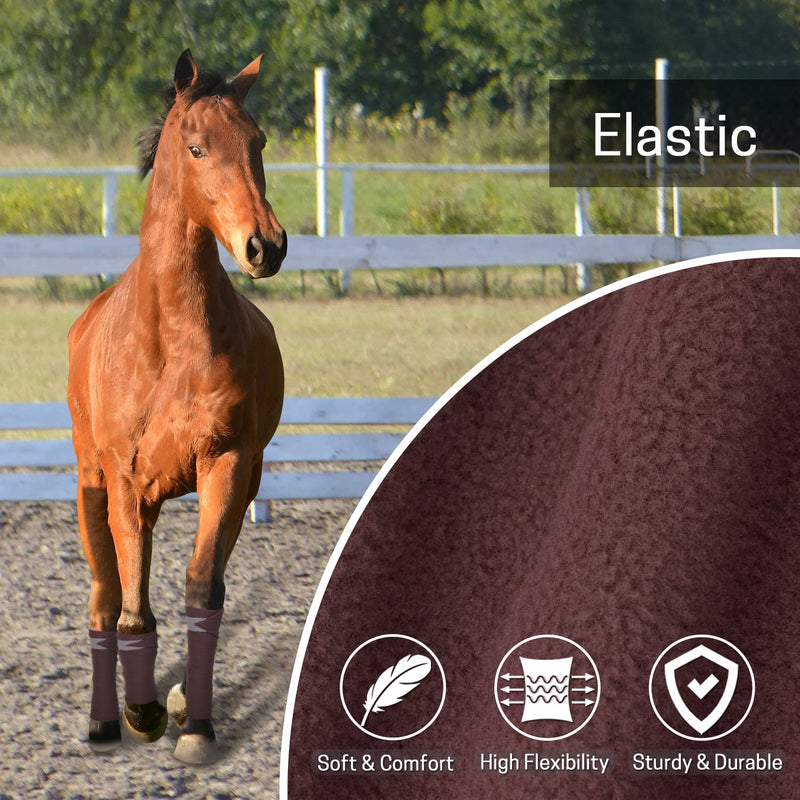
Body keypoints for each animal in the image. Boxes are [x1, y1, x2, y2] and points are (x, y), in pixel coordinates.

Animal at [67, 49, 286, 764]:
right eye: (196, 147)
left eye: (258, 142)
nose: (265, 246)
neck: (169, 340)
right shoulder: (124, 479)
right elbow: (131, 607)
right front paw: (141, 712)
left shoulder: (226, 466)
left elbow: (201, 589)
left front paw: (194, 723)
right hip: (93, 486)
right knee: (105, 596)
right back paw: (106, 722)